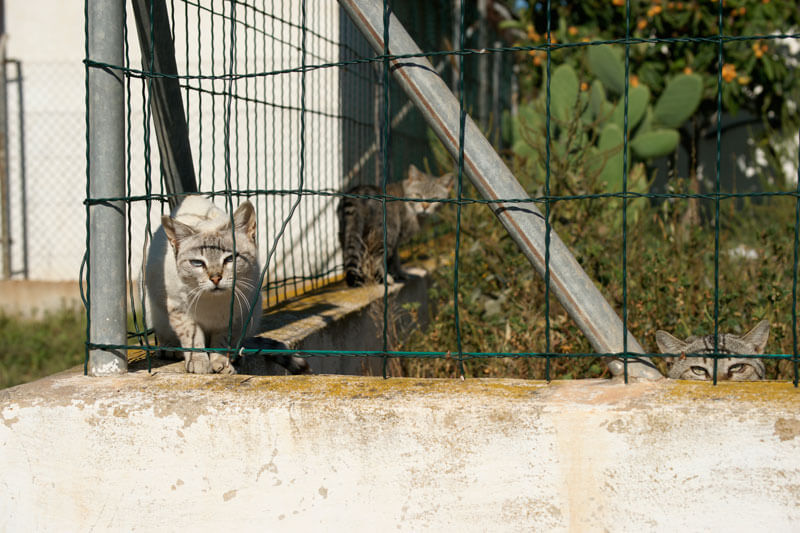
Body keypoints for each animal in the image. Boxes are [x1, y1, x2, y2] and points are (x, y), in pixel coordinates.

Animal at [145, 195, 264, 374]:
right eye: (197, 263)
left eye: (230, 259)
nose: (215, 278)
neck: (212, 301)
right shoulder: (179, 309)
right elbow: (192, 337)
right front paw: (199, 362)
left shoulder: (235, 316)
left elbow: (221, 341)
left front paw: (221, 363)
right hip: (155, 310)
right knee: (164, 334)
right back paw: (170, 349)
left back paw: (236, 357)